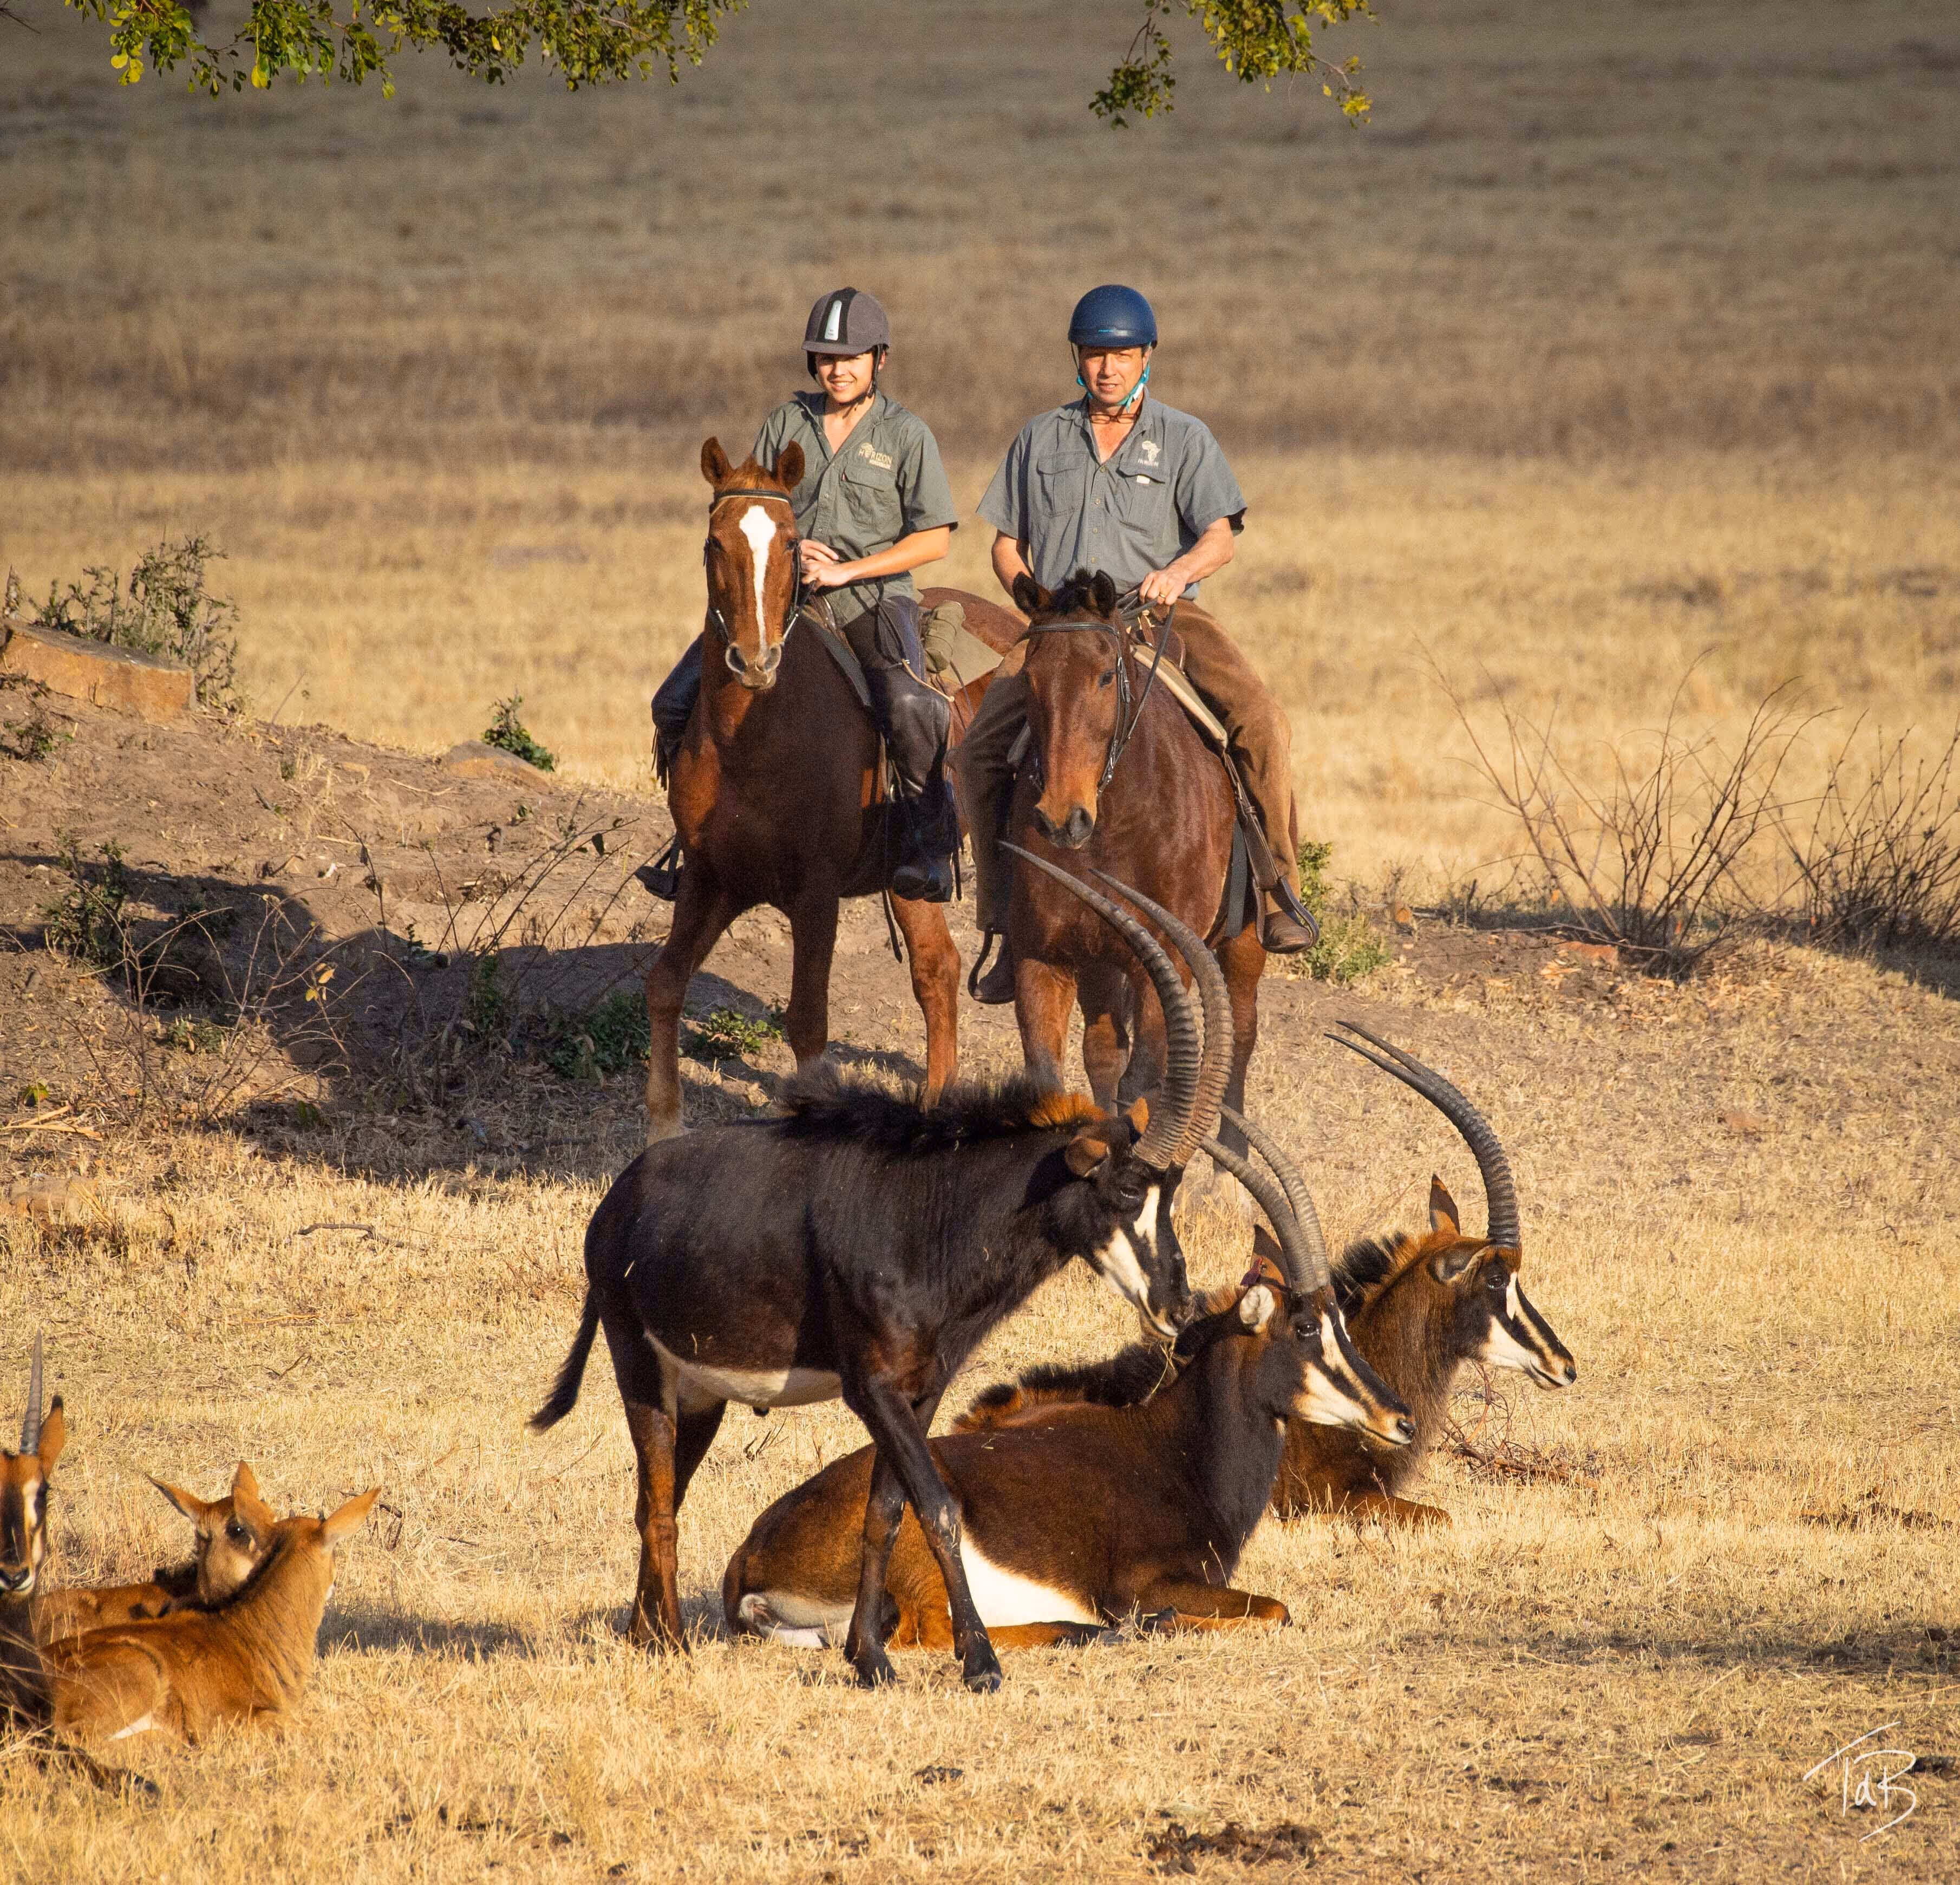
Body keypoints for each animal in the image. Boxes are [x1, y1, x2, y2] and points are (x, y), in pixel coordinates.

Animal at [642, 439, 1019, 1143]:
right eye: (713, 543)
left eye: (792, 543)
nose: (753, 661)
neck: (752, 738)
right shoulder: (710, 880)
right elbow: (664, 984)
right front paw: (663, 1131)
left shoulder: (814, 896)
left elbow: (807, 1021)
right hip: (907, 879)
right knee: (937, 970)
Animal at [1004, 570, 1267, 1152]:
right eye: (1029, 678)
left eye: (1106, 677)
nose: (1062, 818)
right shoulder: (1042, 958)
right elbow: (1051, 1082)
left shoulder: (1167, 961)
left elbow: (1144, 1080)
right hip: (1102, 961)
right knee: (1104, 1050)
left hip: (1243, 945)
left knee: (1240, 1039)